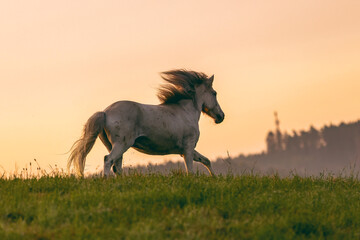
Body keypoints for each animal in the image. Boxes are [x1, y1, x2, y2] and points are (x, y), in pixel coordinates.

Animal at [68, 69, 225, 176]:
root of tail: (105, 113)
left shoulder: (185, 150)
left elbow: (206, 160)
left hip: (113, 145)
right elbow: (191, 170)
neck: (185, 112)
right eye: (214, 93)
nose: (221, 116)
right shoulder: (188, 148)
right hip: (122, 144)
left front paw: (214, 178)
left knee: (116, 166)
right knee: (108, 160)